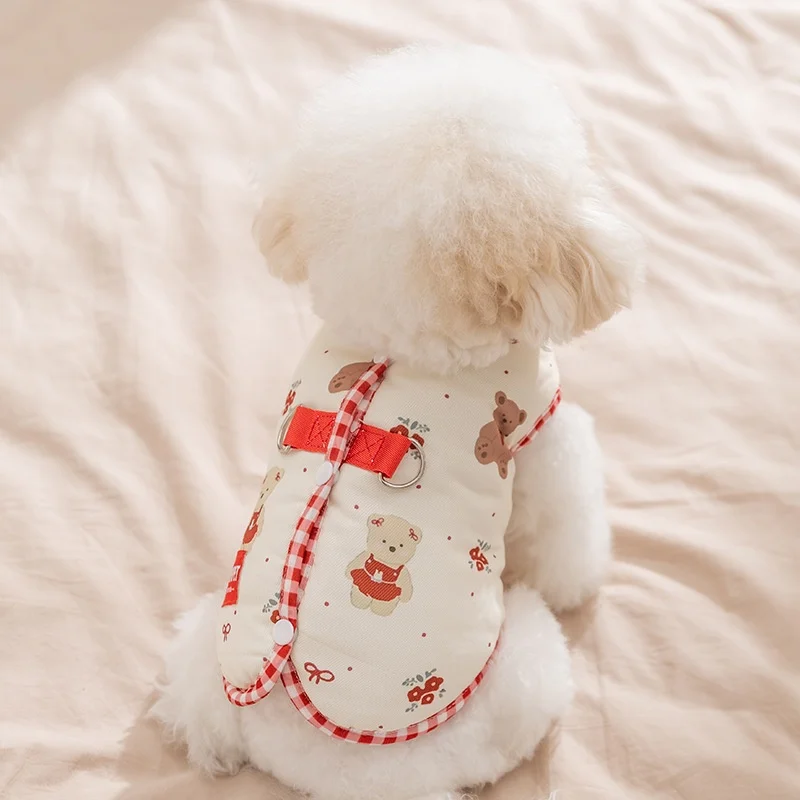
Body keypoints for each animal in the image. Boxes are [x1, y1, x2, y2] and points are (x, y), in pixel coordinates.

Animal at [151, 44, 640, 800]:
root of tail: (311, 770)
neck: (400, 346)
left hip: (205, 639)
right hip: (524, 667)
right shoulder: (544, 444)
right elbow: (567, 533)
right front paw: (580, 581)